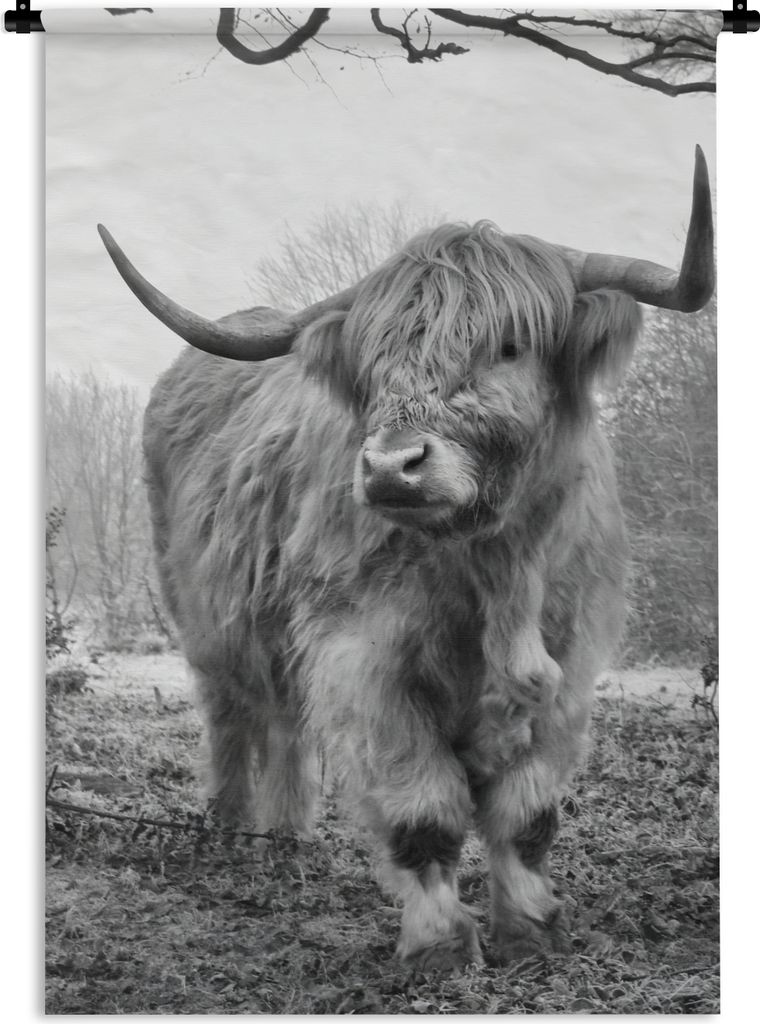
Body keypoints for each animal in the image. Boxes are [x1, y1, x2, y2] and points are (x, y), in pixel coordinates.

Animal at [98, 147, 713, 970]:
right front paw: (440, 946)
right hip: (204, 622)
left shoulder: (572, 664)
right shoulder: (365, 661)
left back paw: (286, 841)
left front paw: (532, 930)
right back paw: (231, 833)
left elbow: (528, 815)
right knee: (233, 718)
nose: (393, 467)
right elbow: (424, 812)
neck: (497, 570)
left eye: (509, 345)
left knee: (286, 726)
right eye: (374, 362)